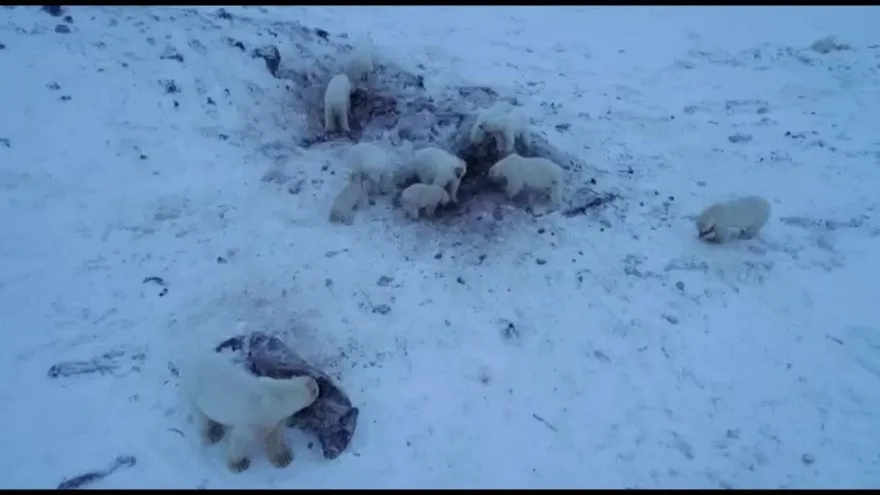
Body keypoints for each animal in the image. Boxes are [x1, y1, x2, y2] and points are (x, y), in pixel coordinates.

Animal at [179, 350, 320, 473]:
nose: (317, 383)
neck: (275, 397)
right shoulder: (254, 420)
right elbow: (239, 439)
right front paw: (239, 465)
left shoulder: (274, 418)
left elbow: (275, 436)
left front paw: (283, 458)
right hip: (194, 390)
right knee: (201, 415)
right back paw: (213, 433)